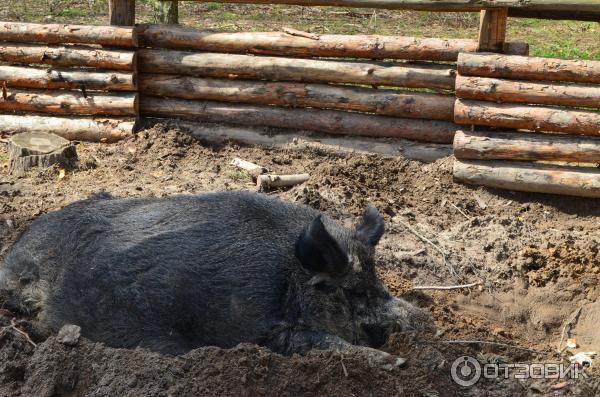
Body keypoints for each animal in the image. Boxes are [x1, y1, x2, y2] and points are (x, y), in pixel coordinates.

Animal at [0, 190, 432, 364]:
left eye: (378, 283)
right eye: (350, 292)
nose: (425, 323)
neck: (287, 277)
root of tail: (14, 251)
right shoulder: (255, 329)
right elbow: (324, 341)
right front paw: (395, 363)